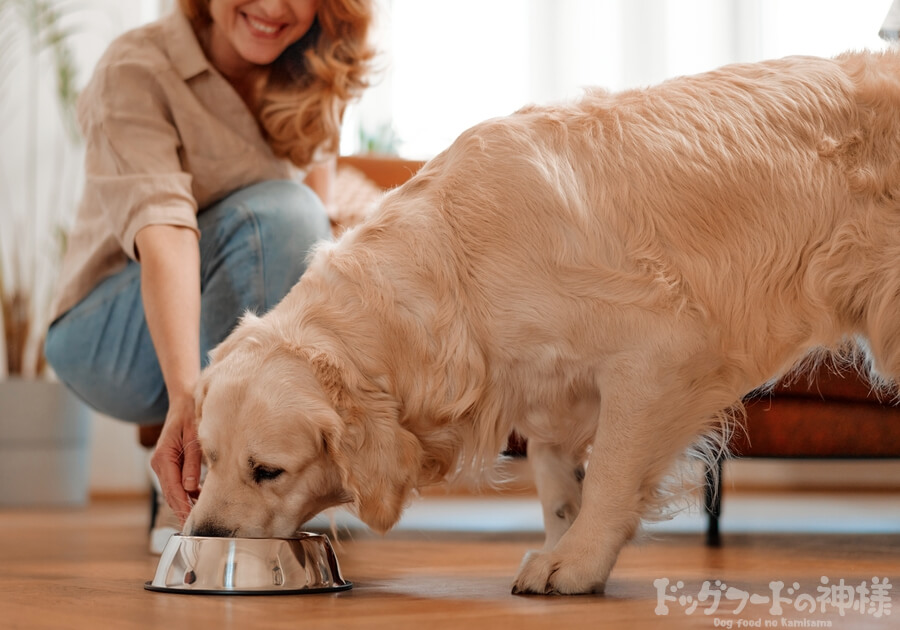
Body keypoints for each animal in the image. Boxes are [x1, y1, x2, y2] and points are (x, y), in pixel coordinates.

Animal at [186, 50, 900, 596]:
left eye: (268, 471)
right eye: (208, 458)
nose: (201, 539)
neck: (457, 269)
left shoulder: (659, 354)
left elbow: (610, 470)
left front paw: (577, 563)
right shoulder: (547, 385)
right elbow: (559, 479)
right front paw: (564, 542)